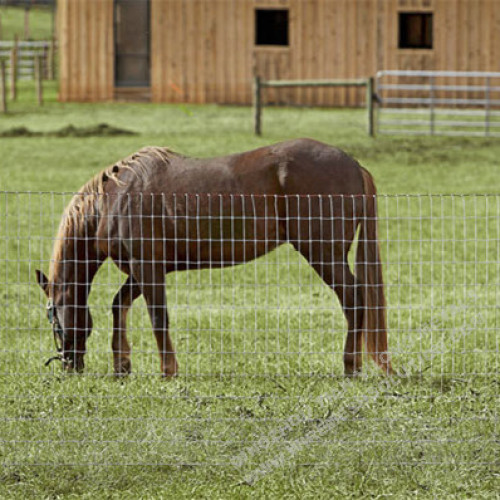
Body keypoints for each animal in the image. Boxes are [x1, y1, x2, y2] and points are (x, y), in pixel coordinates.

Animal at [36, 139, 394, 376]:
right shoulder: (143, 270)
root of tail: (354, 165)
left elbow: (158, 317)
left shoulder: (147, 267)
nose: (69, 365)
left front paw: (168, 371)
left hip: (324, 253)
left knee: (354, 300)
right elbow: (118, 305)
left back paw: (351, 366)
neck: (115, 198)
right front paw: (122, 365)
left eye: (52, 314)